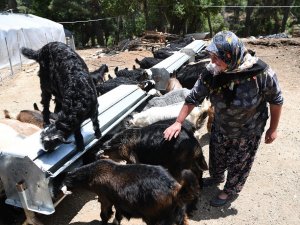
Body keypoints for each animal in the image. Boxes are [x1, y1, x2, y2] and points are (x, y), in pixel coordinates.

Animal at [51, 159, 198, 225]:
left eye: (56, 184)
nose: (53, 196)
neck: (93, 174)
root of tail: (174, 188)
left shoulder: (104, 198)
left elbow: (104, 214)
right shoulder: (117, 200)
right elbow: (117, 213)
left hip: (157, 218)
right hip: (178, 215)